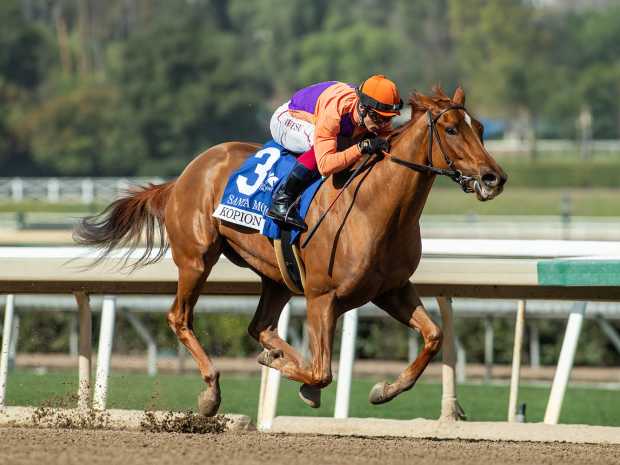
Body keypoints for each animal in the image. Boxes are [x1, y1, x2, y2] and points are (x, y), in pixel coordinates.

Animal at [75, 85, 506, 416]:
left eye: (481, 128)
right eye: (451, 129)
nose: (494, 178)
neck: (374, 206)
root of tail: (183, 175)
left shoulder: (390, 289)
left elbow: (433, 336)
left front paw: (383, 389)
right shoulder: (322, 297)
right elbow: (322, 371)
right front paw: (295, 375)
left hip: (276, 276)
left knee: (260, 326)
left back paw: (275, 356)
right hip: (196, 259)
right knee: (180, 317)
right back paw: (212, 391)